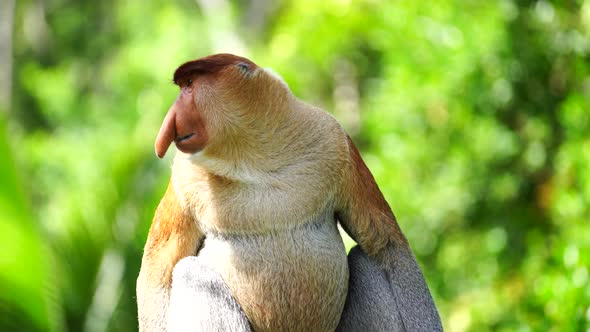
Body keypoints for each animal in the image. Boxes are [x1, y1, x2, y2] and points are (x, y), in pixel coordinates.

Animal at [139, 53, 444, 332]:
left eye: (190, 85)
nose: (171, 119)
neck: (252, 156)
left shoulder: (336, 140)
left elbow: (387, 246)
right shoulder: (184, 177)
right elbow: (159, 269)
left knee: (365, 258)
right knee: (191, 273)